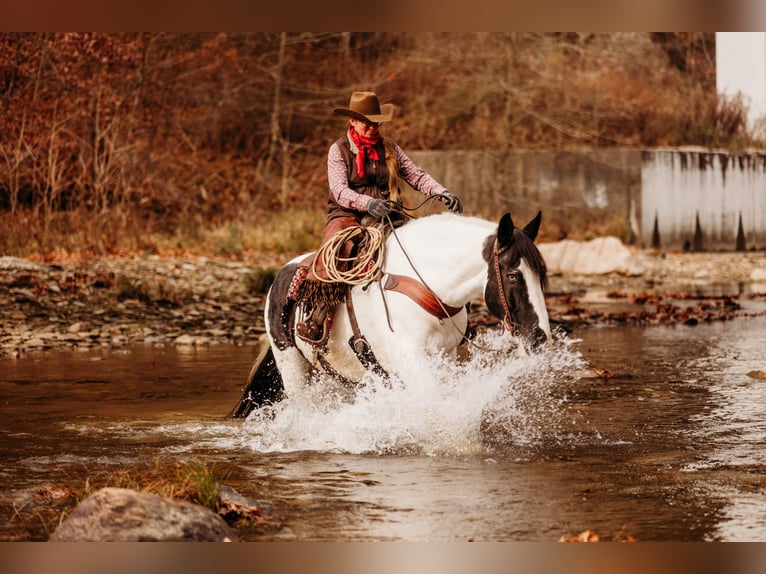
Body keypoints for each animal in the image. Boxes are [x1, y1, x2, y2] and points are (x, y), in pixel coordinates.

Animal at [231, 212, 548, 418]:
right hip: (291, 365)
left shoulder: (444, 357)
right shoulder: (410, 359)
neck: (426, 285)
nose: (540, 338)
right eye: (513, 275)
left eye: (541, 274)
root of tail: (280, 276)